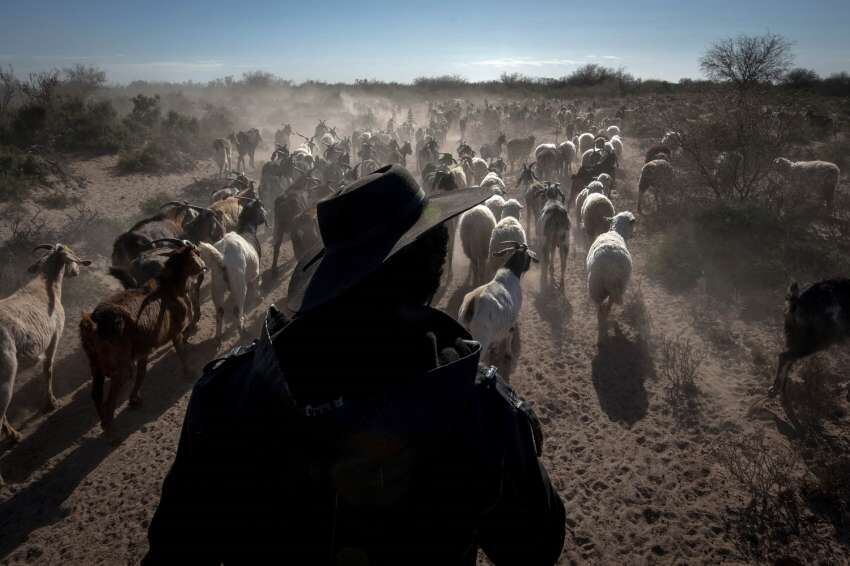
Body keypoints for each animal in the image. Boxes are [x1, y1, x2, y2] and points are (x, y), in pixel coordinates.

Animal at [0, 246, 90, 446]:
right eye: (71, 256)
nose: (77, 271)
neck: (45, 287)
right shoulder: (54, 338)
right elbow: (48, 370)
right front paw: (51, 403)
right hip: (6, 374)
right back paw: (14, 436)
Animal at [79, 241, 205, 434]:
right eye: (195, 253)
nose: (204, 267)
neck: (168, 287)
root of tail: (94, 324)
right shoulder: (174, 331)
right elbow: (181, 351)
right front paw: (190, 372)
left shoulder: (144, 348)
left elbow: (142, 372)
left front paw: (134, 399)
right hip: (119, 365)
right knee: (110, 400)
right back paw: (110, 431)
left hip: (95, 364)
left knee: (96, 394)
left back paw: (104, 422)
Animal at [458, 244, 536, 382]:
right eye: (528, 257)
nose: (529, 266)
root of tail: (472, 303)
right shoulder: (512, 319)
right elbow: (510, 336)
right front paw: (508, 354)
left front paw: (494, 348)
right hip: (480, 340)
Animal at [584, 213, 636, 342]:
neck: (616, 232)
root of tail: (611, 269)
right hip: (615, 286)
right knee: (606, 305)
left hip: (596, 287)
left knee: (601, 306)